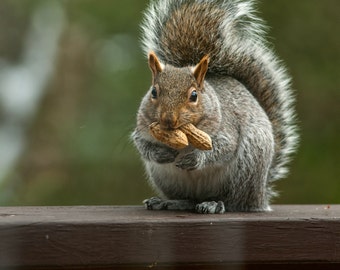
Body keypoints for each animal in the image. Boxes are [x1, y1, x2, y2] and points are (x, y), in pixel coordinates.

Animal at [132, 0, 298, 214]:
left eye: (194, 95)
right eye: (153, 92)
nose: (168, 120)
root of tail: (260, 197)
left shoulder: (227, 129)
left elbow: (224, 147)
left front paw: (195, 158)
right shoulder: (142, 128)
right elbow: (141, 144)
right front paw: (161, 153)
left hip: (246, 169)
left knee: (234, 202)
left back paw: (215, 204)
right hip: (168, 180)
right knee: (190, 200)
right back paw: (170, 202)